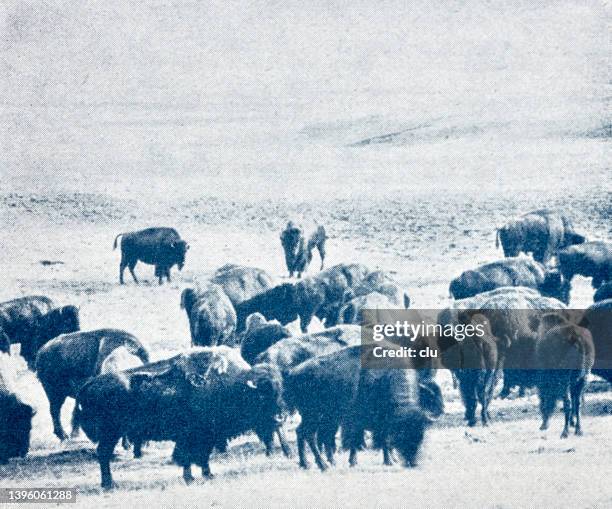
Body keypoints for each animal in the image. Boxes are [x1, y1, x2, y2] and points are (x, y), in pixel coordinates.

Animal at [75, 346, 284, 488]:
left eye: (280, 391)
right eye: (262, 395)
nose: (279, 418)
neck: (235, 384)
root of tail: (88, 385)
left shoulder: (207, 436)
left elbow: (202, 457)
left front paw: (207, 475)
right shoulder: (194, 436)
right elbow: (188, 457)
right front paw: (191, 478)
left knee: (103, 454)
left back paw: (108, 483)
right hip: (110, 434)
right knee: (103, 454)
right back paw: (109, 484)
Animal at [284, 344, 432, 470]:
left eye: (421, 434)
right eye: (401, 433)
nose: (413, 462)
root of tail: (293, 372)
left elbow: (381, 440)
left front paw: (389, 460)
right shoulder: (359, 420)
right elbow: (360, 440)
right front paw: (358, 462)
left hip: (325, 419)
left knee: (306, 433)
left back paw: (312, 463)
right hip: (313, 416)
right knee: (309, 434)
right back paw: (322, 465)